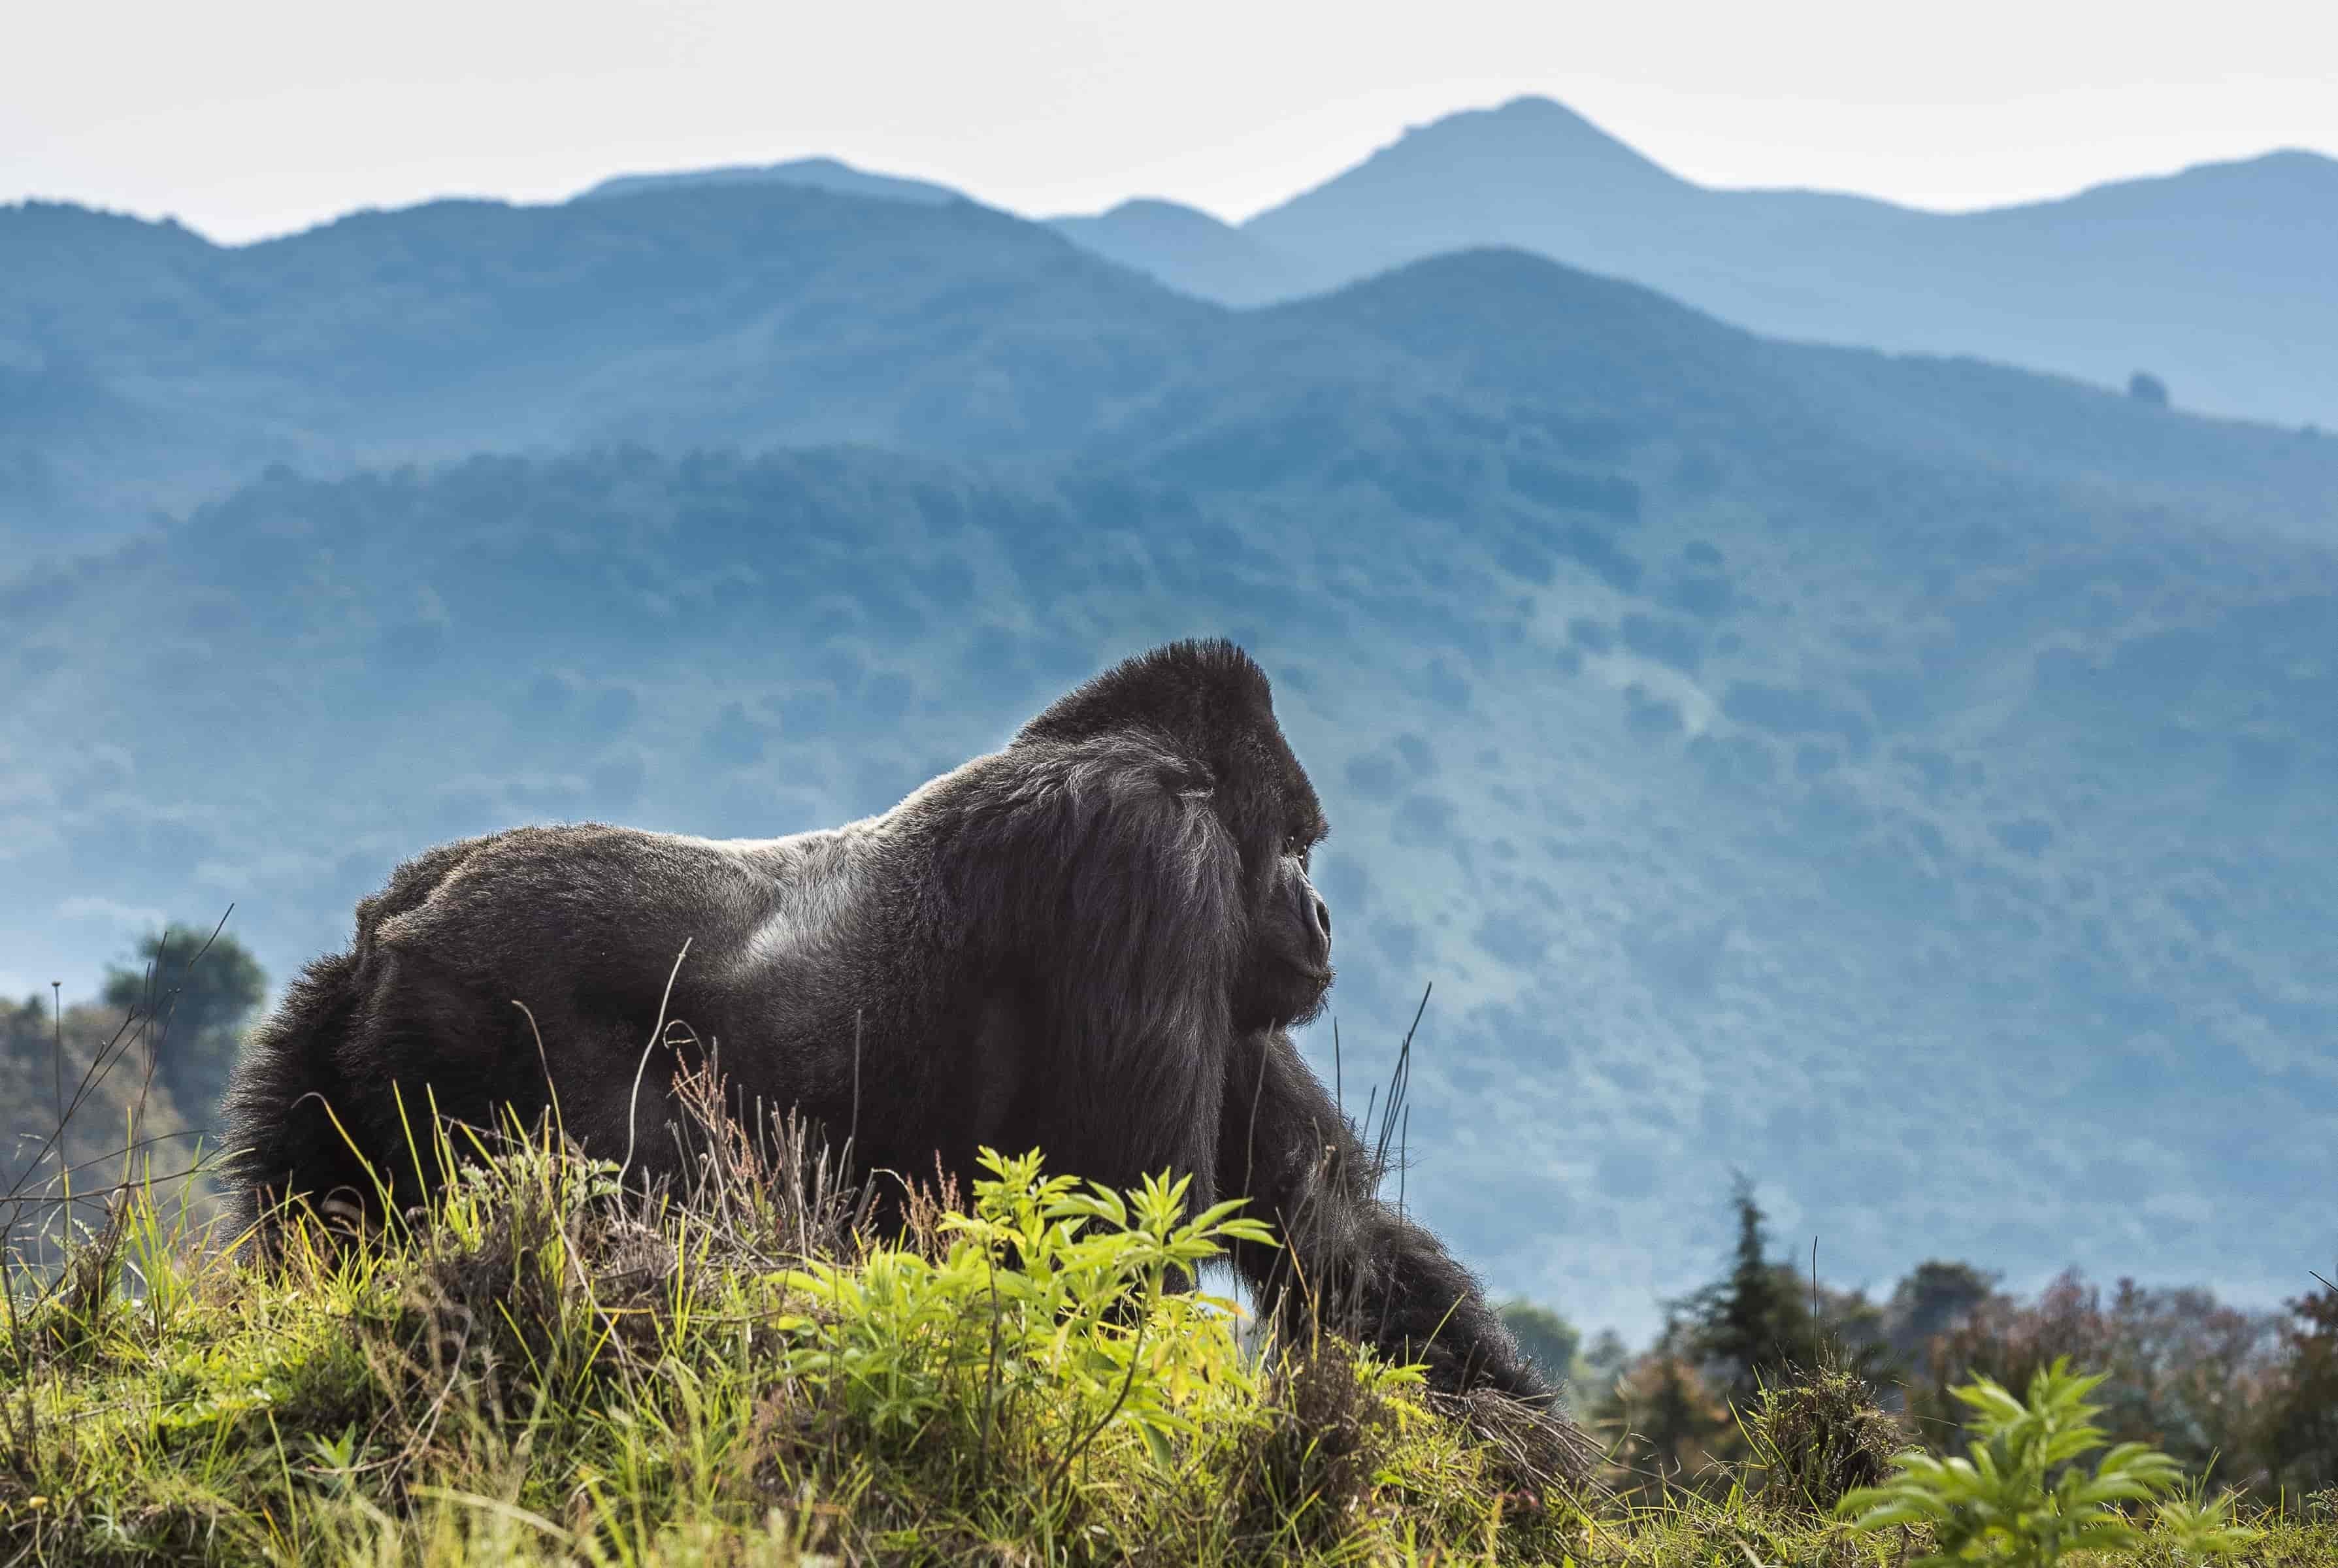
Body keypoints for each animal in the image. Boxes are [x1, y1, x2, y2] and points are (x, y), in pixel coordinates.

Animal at [223, 635, 1552, 1402]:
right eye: (1295, 848)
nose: (1320, 916)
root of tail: (389, 918)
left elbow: (1335, 1237)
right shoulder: (1149, 866)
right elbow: (1121, 1229)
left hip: (332, 1055)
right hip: (470, 1013)